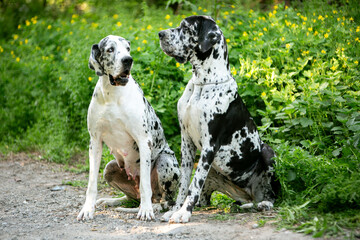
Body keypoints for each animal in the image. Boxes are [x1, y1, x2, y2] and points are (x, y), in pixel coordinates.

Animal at [78, 35, 180, 221]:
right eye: (110, 49)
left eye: (128, 49)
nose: (128, 60)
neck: (112, 95)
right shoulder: (94, 142)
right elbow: (91, 183)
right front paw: (87, 209)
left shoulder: (143, 141)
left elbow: (145, 184)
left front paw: (146, 211)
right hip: (109, 168)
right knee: (130, 198)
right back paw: (111, 201)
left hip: (165, 161)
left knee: (163, 200)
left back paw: (152, 206)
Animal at [159, 15, 280, 223]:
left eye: (185, 28)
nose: (160, 34)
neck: (202, 84)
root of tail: (251, 195)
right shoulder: (187, 143)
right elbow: (184, 183)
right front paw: (175, 209)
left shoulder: (209, 145)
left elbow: (194, 185)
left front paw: (183, 213)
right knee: (206, 198)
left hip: (268, 152)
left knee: (274, 194)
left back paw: (265, 203)